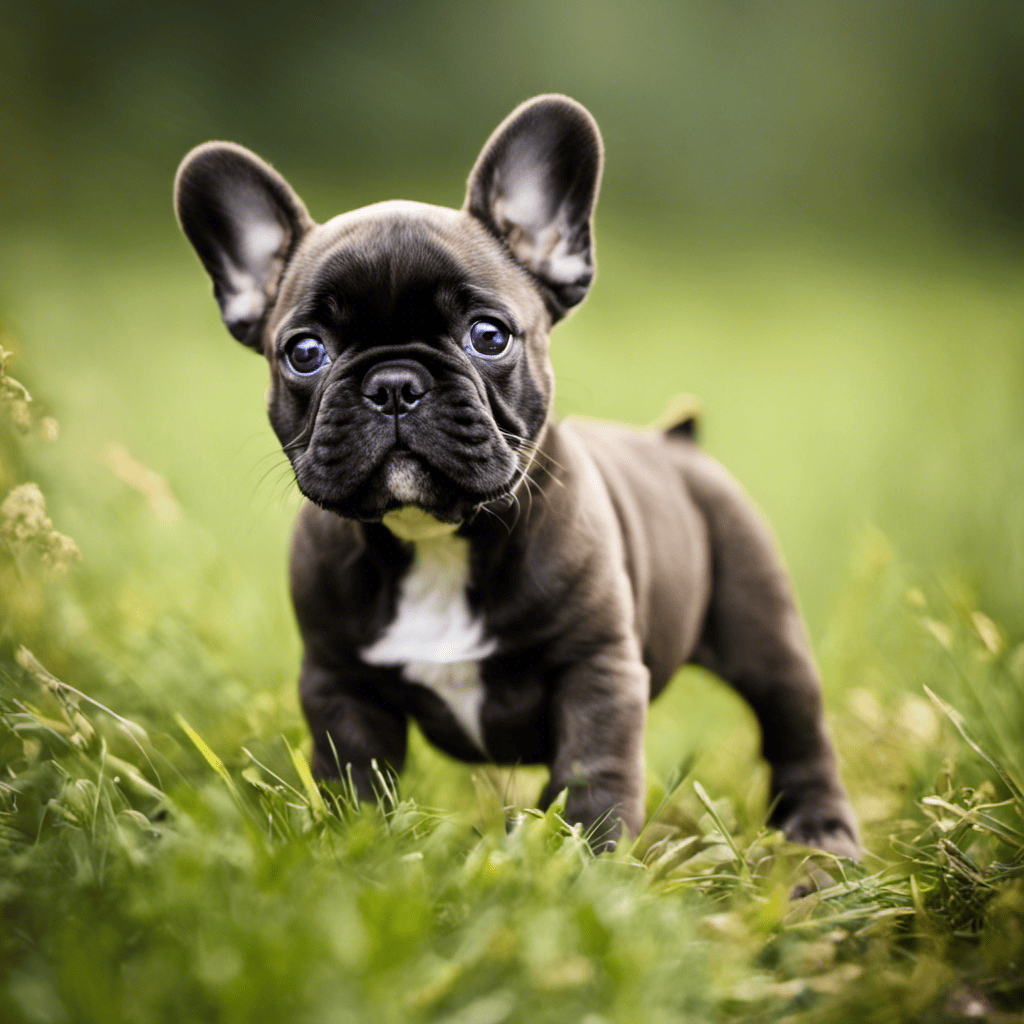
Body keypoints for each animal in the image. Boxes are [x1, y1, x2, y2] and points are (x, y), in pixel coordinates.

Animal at [174, 94, 856, 856]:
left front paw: (592, 863)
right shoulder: (340, 685)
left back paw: (821, 839)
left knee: (795, 725)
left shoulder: (598, 671)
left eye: (489, 337)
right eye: (304, 352)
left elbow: (595, 774)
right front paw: (357, 852)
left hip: (761, 627)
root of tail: (677, 441)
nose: (394, 384)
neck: (433, 539)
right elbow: (354, 782)